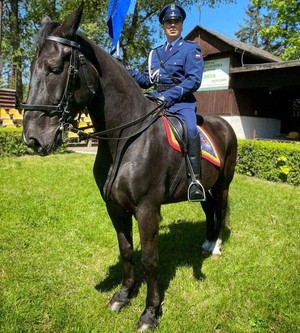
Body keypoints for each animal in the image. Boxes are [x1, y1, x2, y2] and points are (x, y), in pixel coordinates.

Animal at [21, 4, 237, 330]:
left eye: (55, 68)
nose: (33, 138)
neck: (126, 139)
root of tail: (224, 124)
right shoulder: (114, 207)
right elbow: (125, 251)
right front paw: (122, 296)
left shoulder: (147, 210)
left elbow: (149, 259)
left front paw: (150, 312)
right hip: (204, 188)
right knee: (209, 209)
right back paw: (207, 242)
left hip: (223, 184)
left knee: (221, 209)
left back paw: (215, 248)